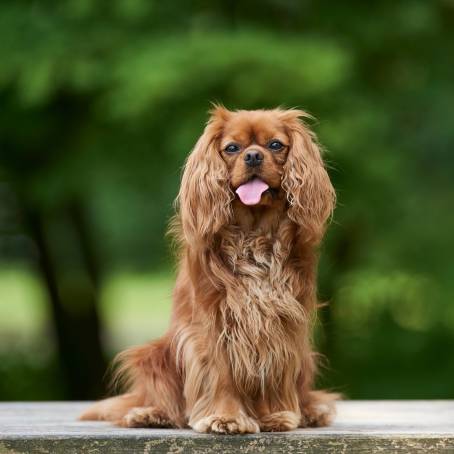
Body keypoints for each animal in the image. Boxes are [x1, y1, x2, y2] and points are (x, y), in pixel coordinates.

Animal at [80, 105, 338, 432]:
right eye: (232, 148)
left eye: (275, 145)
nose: (253, 156)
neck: (253, 234)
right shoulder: (213, 323)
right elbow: (221, 373)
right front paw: (226, 417)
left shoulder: (281, 322)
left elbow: (275, 369)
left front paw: (275, 415)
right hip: (153, 356)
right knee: (166, 401)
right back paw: (151, 414)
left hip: (305, 359)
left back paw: (309, 410)